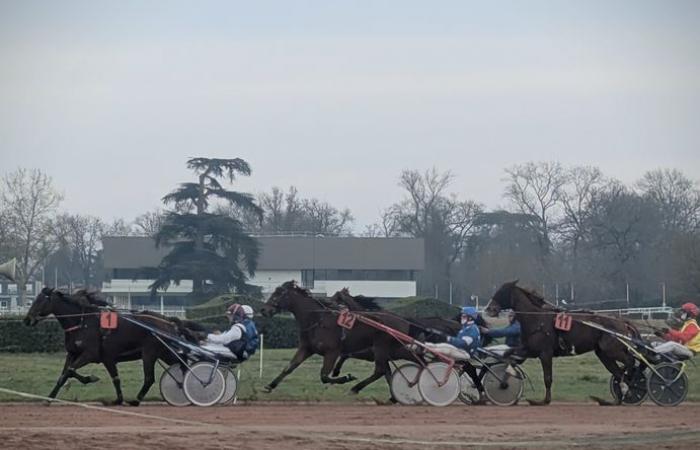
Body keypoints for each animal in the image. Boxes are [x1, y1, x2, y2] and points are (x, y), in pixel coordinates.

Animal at [24, 288, 191, 408]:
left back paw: (137, 400)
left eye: (40, 301)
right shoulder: (79, 354)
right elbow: (65, 374)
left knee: (152, 377)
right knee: (181, 364)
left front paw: (91, 378)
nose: (26, 320)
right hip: (164, 353)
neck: (81, 322)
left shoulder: (90, 354)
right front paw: (49, 398)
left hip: (150, 353)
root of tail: (168, 321)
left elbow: (70, 371)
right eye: (33, 300)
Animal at [486, 282, 640, 404]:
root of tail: (621, 321)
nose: (489, 309)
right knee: (617, 372)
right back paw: (618, 398)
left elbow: (547, 378)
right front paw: (506, 378)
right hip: (603, 354)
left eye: (502, 292)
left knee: (630, 361)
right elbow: (510, 356)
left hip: (612, 350)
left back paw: (630, 383)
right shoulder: (528, 350)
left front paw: (545, 400)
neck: (537, 320)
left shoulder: (545, 353)